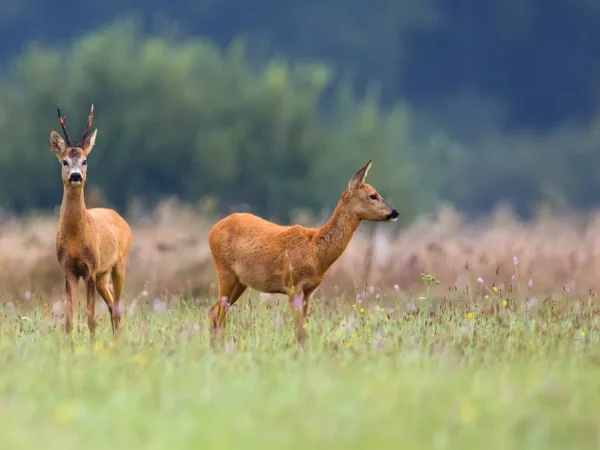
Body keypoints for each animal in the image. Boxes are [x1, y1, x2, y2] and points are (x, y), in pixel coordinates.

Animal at [50, 104, 132, 338]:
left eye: (84, 161)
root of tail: (119, 218)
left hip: (119, 264)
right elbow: (69, 319)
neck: (76, 237)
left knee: (117, 307)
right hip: (102, 275)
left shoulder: (89, 268)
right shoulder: (68, 269)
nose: (76, 176)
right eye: (65, 161)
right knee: (113, 304)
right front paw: (67, 343)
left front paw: (92, 343)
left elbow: (91, 318)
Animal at [209, 161, 400, 344]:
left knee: (214, 311)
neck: (315, 251)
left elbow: (303, 329)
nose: (395, 212)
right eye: (373, 195)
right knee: (218, 313)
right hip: (224, 270)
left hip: (240, 281)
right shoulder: (293, 284)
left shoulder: (309, 290)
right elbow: (299, 329)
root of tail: (212, 230)